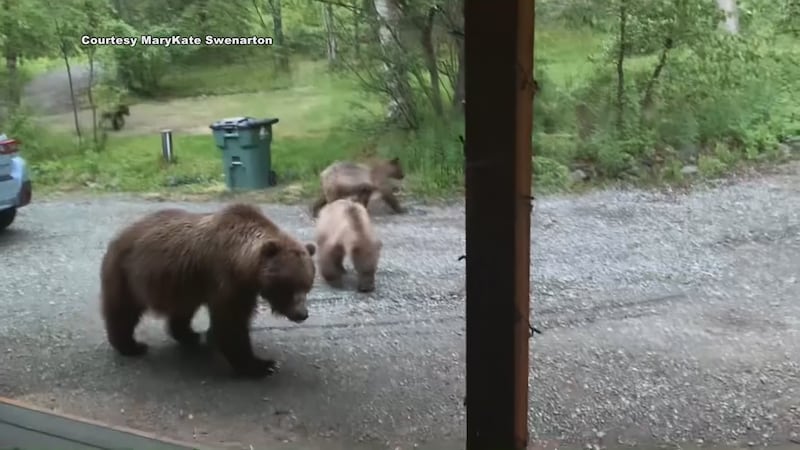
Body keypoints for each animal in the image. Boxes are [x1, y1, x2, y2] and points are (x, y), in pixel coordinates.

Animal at [99, 202, 317, 378]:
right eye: (289, 287)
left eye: (307, 285)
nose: (302, 314)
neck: (243, 265)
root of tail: (120, 234)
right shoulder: (227, 282)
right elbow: (231, 324)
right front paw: (261, 365)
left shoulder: (240, 287)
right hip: (127, 273)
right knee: (123, 310)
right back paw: (130, 345)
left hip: (181, 283)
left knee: (182, 311)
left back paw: (190, 336)